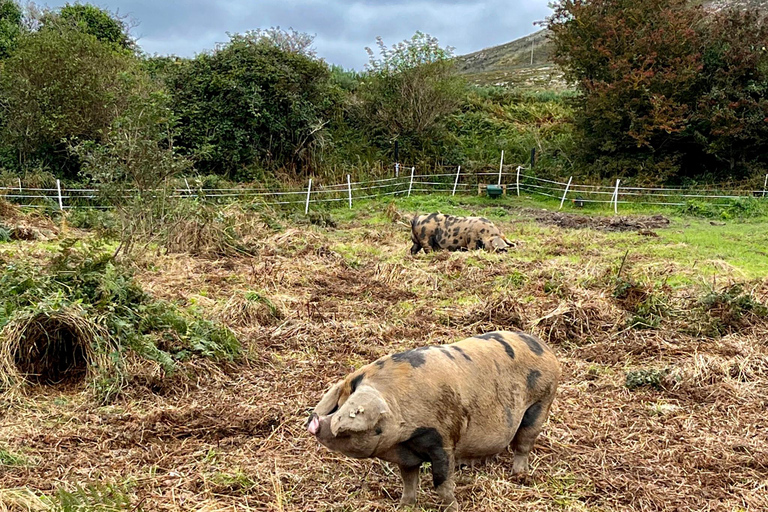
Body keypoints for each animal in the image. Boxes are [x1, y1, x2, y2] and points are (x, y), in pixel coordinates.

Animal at [306, 332, 560, 512]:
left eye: (345, 413)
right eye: (337, 404)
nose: (314, 420)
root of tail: (548, 349)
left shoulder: (443, 440)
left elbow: (442, 483)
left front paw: (453, 508)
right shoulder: (406, 455)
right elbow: (409, 480)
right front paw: (404, 507)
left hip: (541, 402)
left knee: (524, 442)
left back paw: (519, 475)